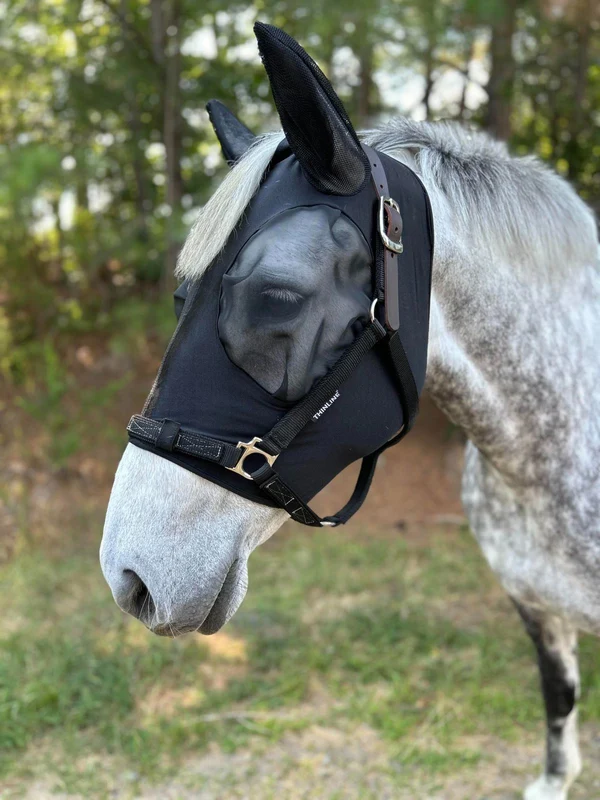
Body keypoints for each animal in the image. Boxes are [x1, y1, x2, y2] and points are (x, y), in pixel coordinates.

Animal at [100, 23, 600, 800]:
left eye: (278, 297)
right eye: (182, 298)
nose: (131, 578)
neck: (547, 456)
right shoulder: (535, 604)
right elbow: (559, 698)